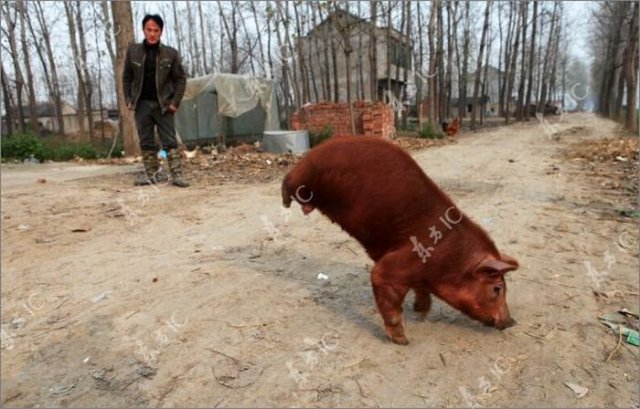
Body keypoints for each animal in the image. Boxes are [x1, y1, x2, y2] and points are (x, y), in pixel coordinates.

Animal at [282, 136, 516, 344]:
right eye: (497, 288)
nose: (511, 322)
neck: (449, 261)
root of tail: (318, 147)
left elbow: (421, 293)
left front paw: (420, 312)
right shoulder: (395, 264)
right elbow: (384, 288)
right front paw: (402, 340)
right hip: (303, 178)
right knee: (287, 182)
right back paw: (287, 203)